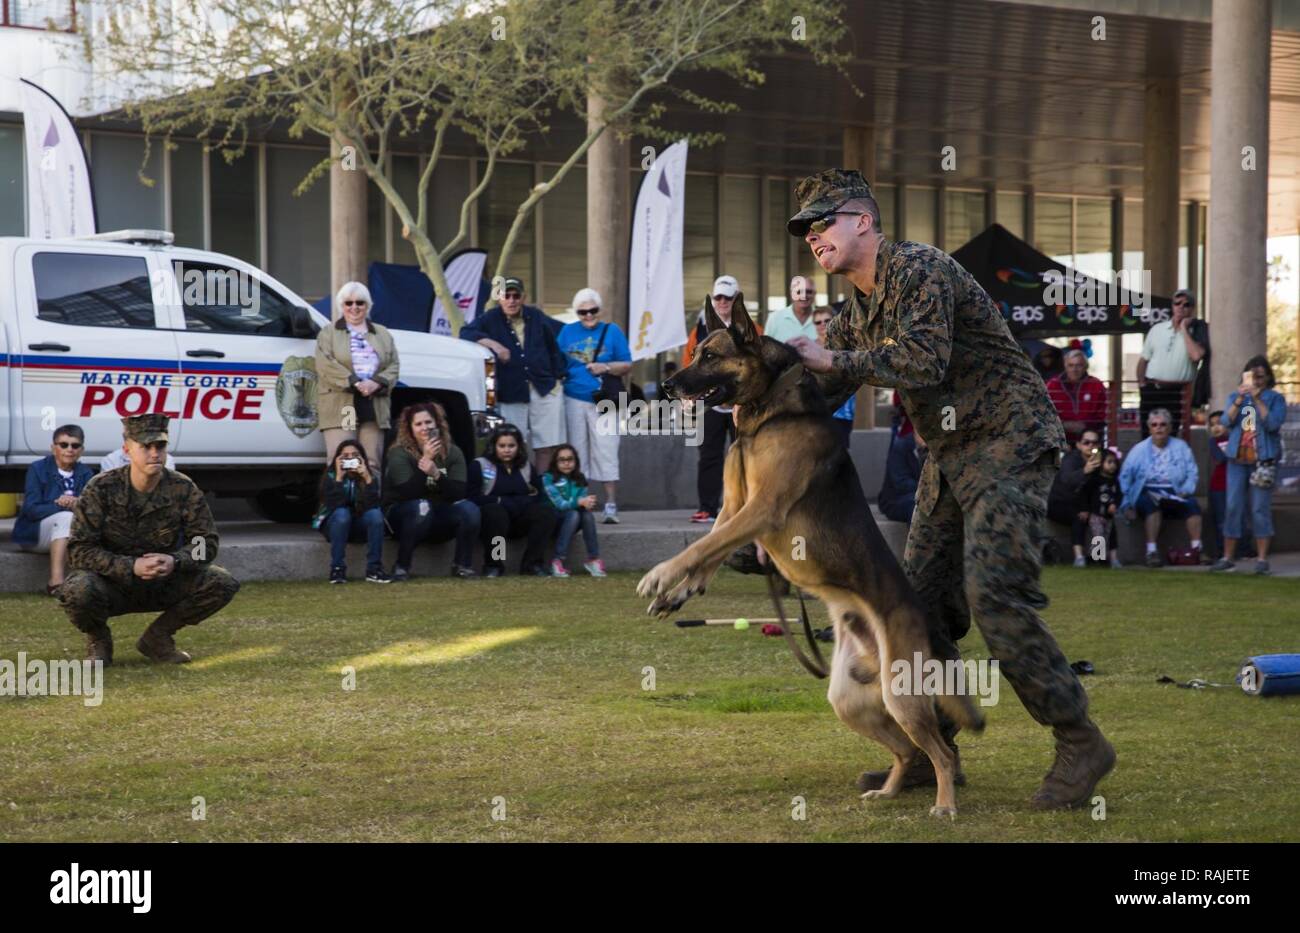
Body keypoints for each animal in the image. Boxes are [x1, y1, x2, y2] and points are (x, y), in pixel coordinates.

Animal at [639, 293, 982, 821]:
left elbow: (699, 549)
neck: (766, 412)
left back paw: (944, 805)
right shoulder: (733, 510)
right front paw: (677, 594)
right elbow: (707, 554)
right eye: (696, 352)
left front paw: (660, 577)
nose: (668, 385)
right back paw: (887, 792)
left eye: (710, 355)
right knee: (907, 751)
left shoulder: (759, 509)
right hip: (851, 702)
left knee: (940, 752)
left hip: (901, 697)